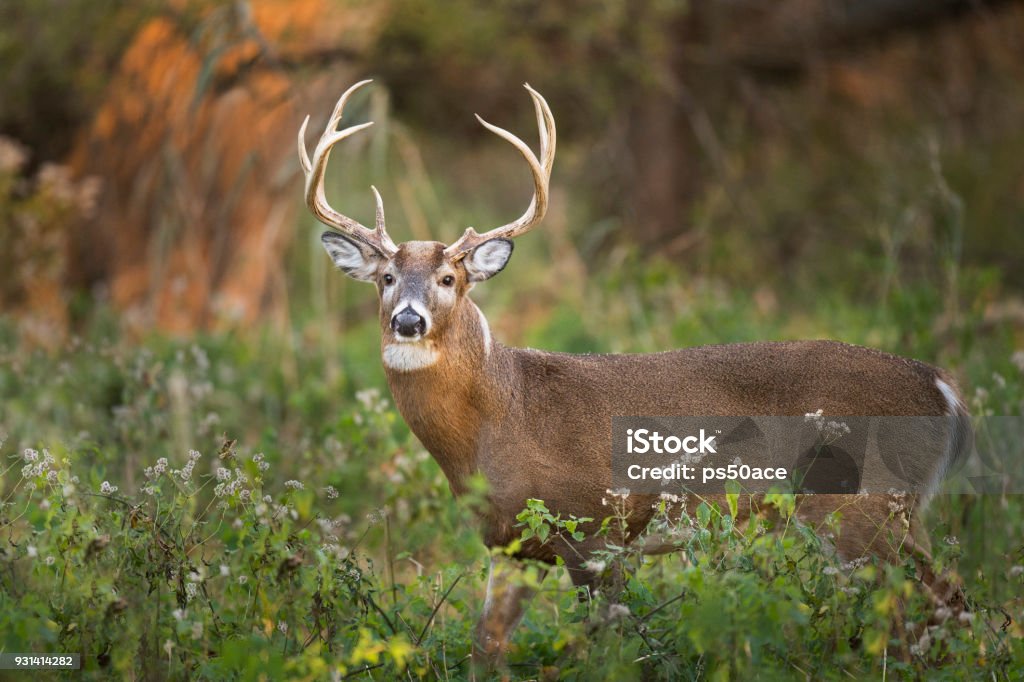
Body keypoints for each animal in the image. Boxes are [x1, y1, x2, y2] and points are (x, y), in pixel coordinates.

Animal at [296, 80, 966, 667]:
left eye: (448, 278)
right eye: (386, 277)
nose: (408, 320)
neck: (501, 414)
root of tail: (943, 390)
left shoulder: (600, 527)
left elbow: (606, 645)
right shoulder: (509, 543)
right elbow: (485, 646)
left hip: (861, 506)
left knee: (923, 605)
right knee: (944, 599)